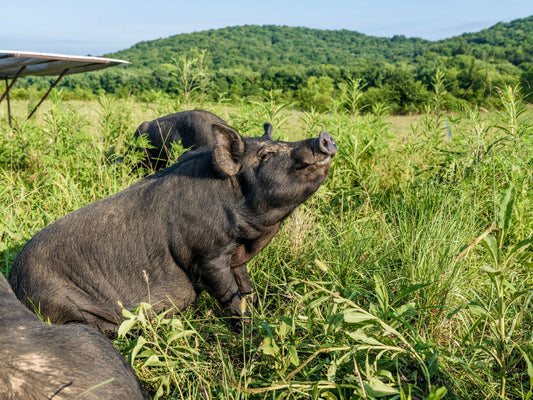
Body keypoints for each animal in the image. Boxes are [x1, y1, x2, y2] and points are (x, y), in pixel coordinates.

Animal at [9, 121, 336, 332]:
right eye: (266, 155)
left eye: (282, 142)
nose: (324, 137)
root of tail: (14, 282)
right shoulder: (206, 256)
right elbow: (230, 294)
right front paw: (251, 330)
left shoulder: (235, 255)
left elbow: (245, 285)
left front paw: (258, 310)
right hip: (60, 304)